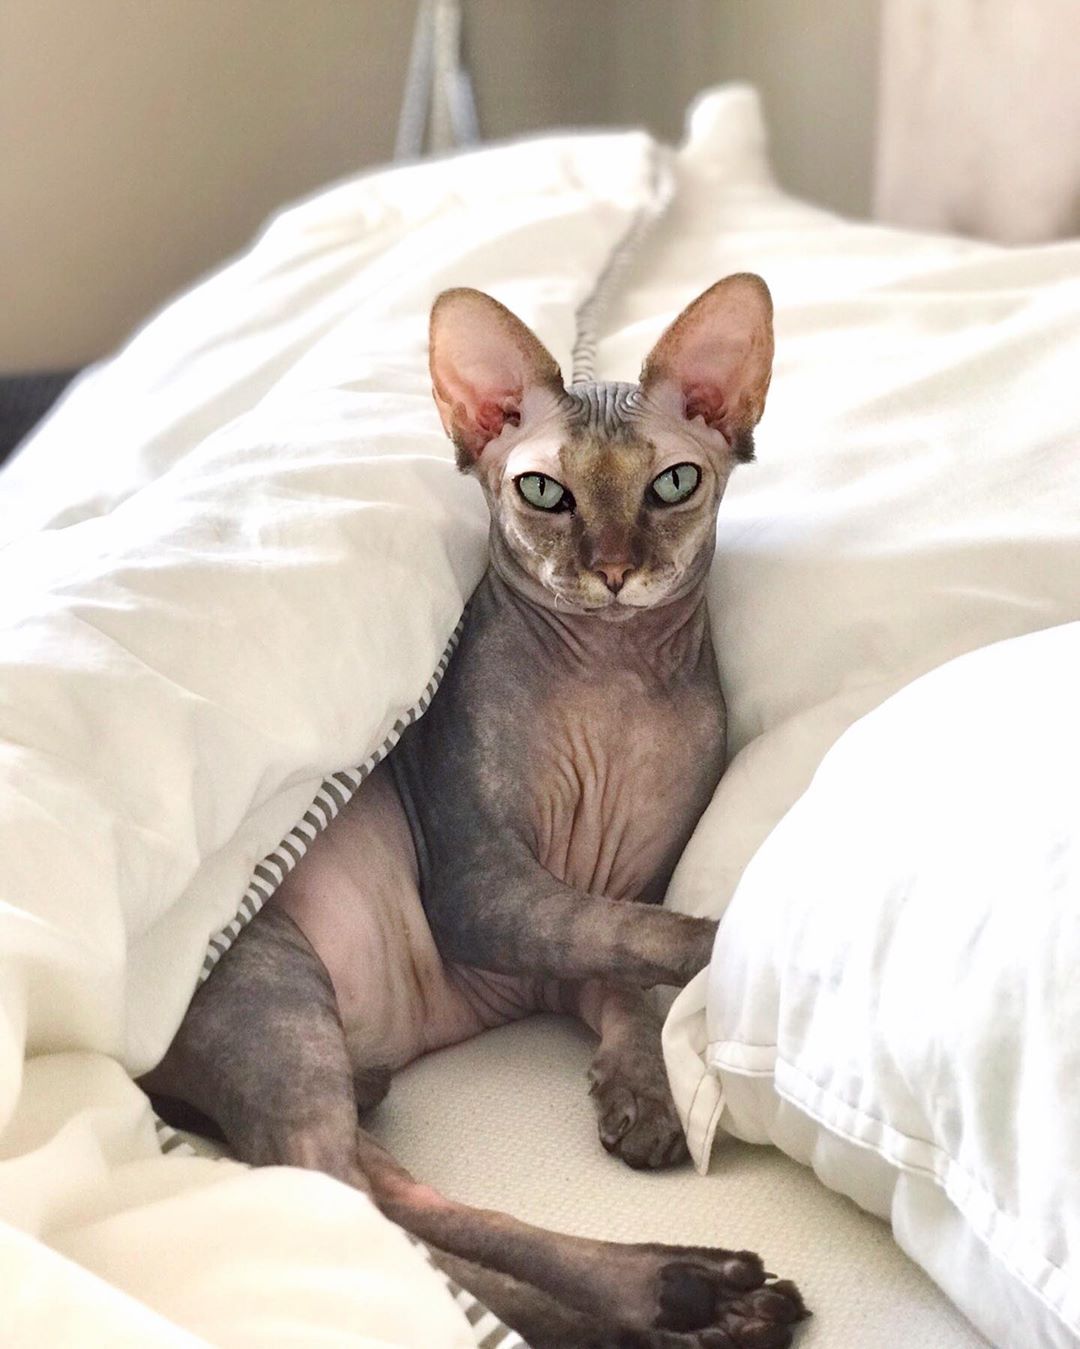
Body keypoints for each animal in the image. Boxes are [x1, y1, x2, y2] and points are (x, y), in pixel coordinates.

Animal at [140, 276, 808, 1349]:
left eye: (672, 484)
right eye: (544, 492)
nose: (612, 568)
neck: (615, 682)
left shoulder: (576, 927)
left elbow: (619, 959)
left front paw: (641, 1089)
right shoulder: (480, 887)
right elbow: (643, 930)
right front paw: (744, 945)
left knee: (387, 1196)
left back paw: (684, 1289)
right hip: (268, 981)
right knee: (337, 1203)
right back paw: (679, 1300)